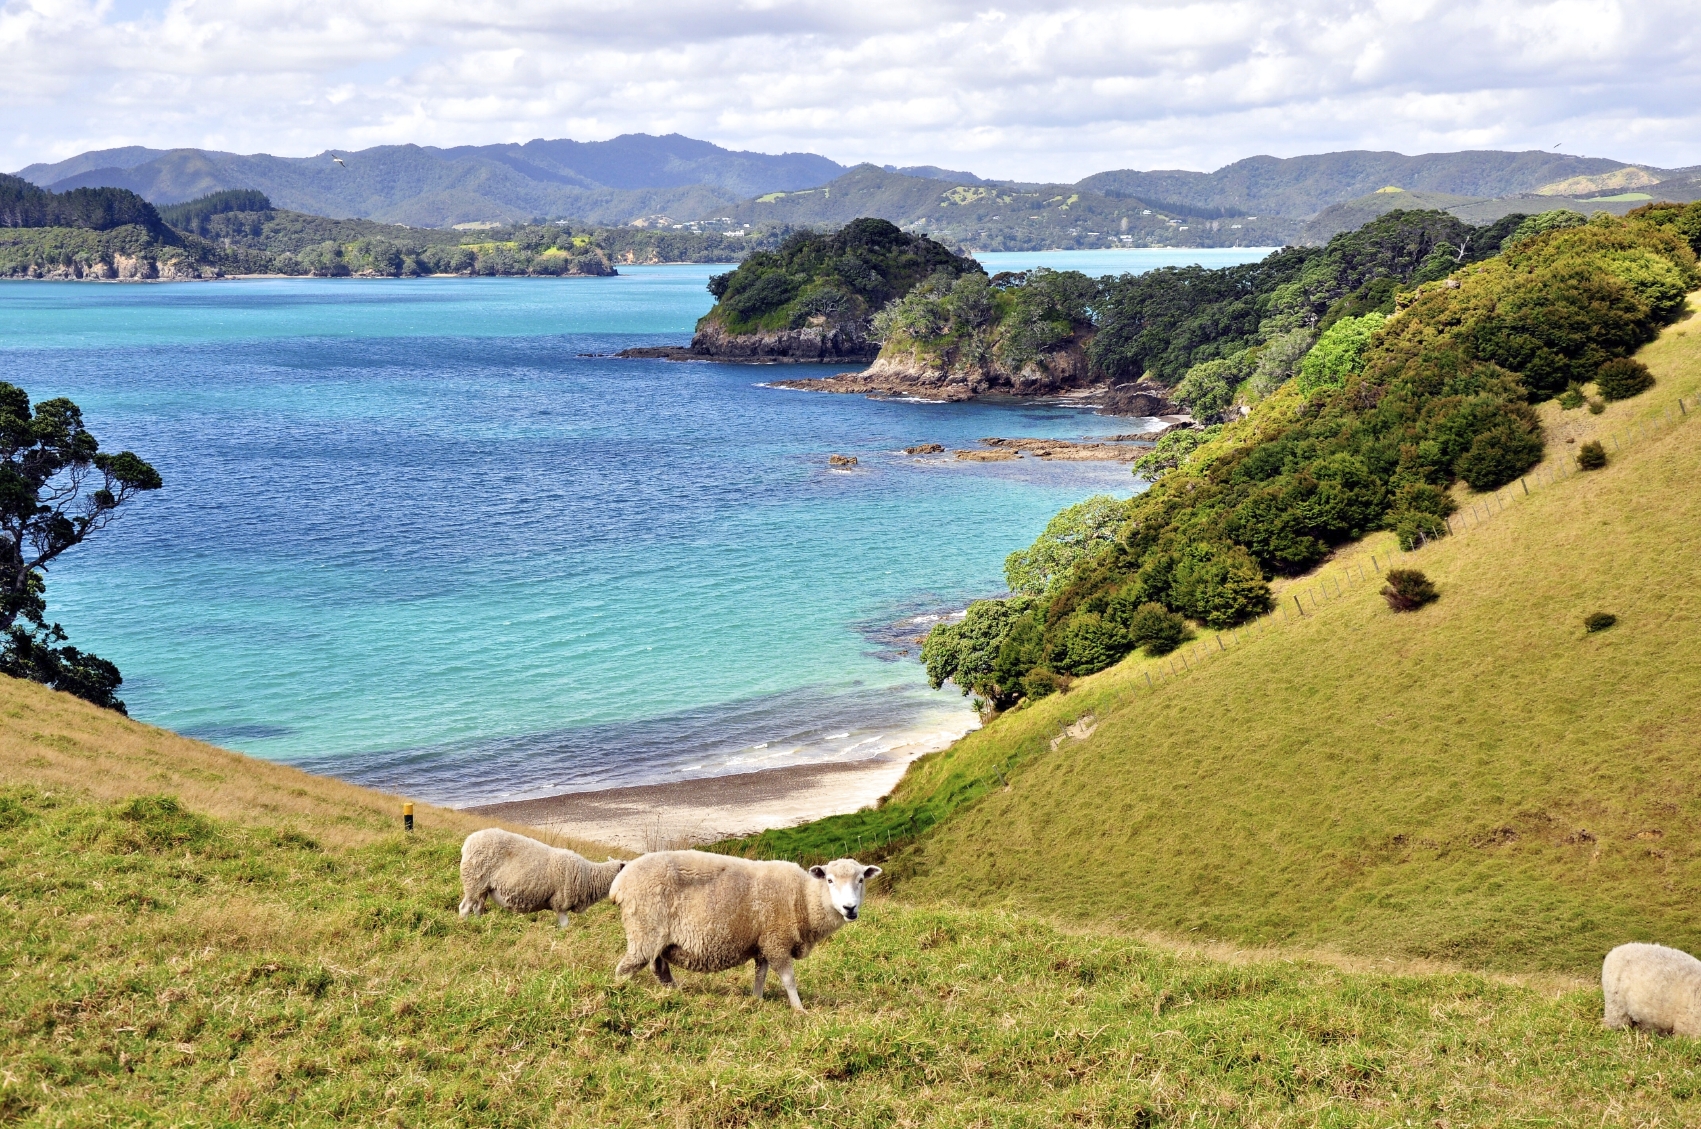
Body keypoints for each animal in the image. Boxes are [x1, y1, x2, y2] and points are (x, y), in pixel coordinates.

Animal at [459, 829, 625, 924]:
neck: (589, 875)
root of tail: (468, 841)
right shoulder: (560, 903)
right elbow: (564, 925)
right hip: (473, 881)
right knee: (465, 907)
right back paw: (464, 925)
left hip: (483, 887)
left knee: (478, 908)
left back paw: (479, 925)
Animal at [608, 846, 877, 1013]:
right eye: (829, 880)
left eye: (861, 879)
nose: (850, 908)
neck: (804, 898)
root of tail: (618, 883)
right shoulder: (777, 941)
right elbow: (789, 979)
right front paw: (799, 1009)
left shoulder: (764, 942)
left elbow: (760, 974)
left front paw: (756, 1000)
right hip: (644, 930)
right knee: (624, 969)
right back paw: (620, 992)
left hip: (657, 939)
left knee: (660, 969)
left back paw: (676, 994)